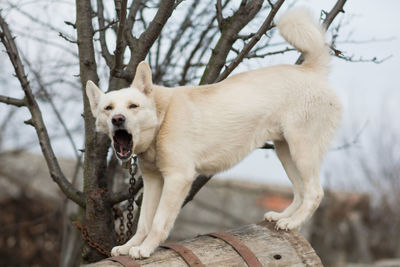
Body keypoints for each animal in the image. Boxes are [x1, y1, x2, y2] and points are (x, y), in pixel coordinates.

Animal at [86, 8, 342, 260]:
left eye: (133, 106)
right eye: (108, 108)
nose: (118, 119)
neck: (162, 117)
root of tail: (312, 70)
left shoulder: (177, 178)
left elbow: (158, 222)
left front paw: (145, 249)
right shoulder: (153, 181)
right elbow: (143, 223)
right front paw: (129, 247)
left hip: (302, 149)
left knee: (315, 193)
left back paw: (293, 222)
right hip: (286, 151)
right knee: (300, 191)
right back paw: (284, 218)